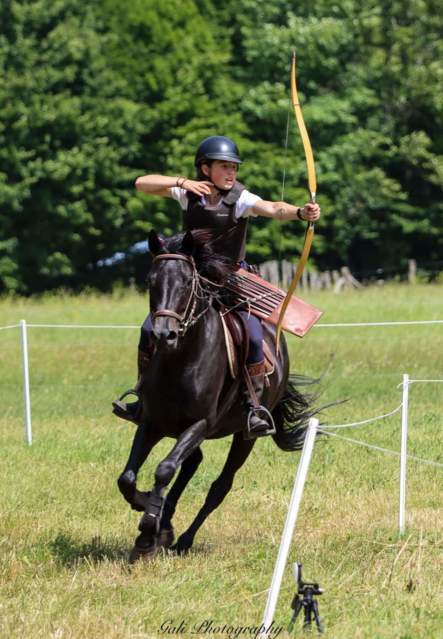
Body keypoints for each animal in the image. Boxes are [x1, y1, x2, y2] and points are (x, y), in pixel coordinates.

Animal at [116, 232, 314, 564]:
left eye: (187, 282)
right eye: (150, 280)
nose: (164, 335)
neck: (180, 360)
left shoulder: (200, 424)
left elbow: (164, 469)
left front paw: (147, 531)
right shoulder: (152, 423)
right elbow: (128, 478)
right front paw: (148, 510)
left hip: (244, 437)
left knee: (220, 486)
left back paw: (182, 539)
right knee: (191, 464)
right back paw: (165, 524)